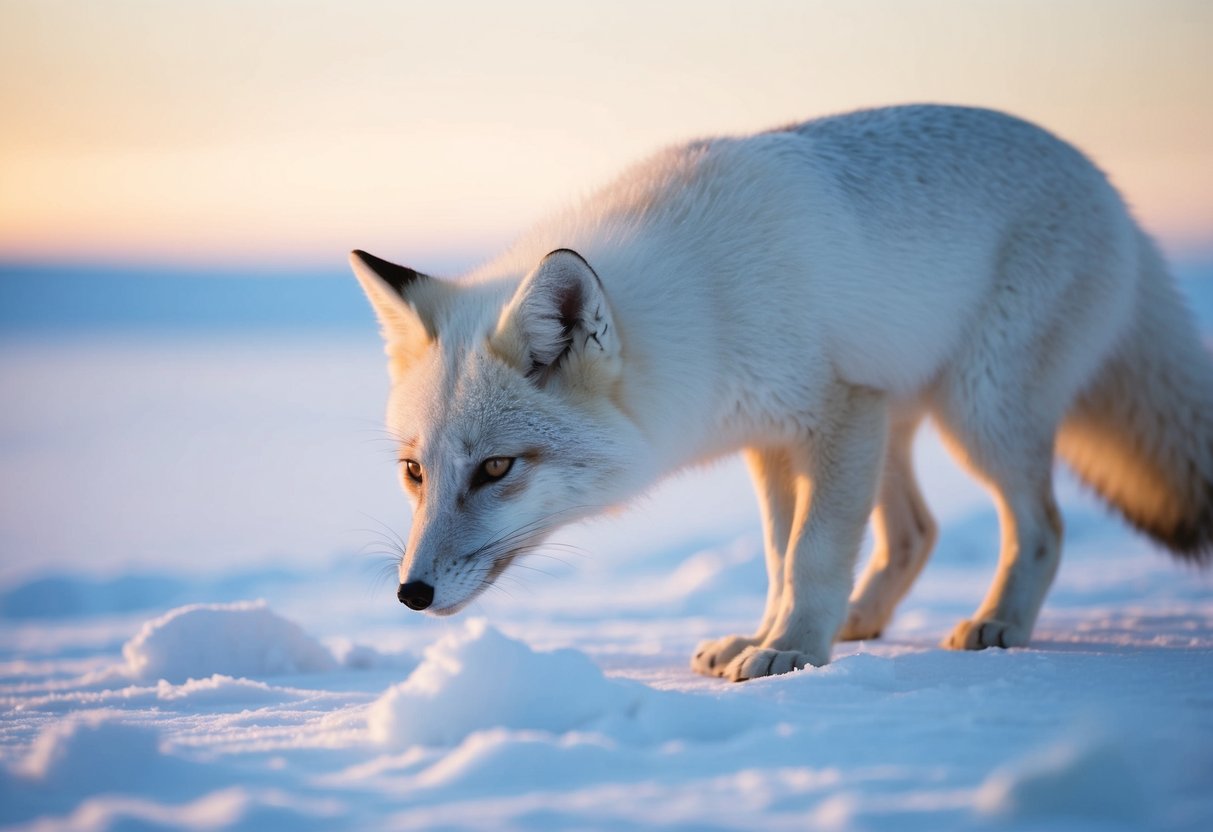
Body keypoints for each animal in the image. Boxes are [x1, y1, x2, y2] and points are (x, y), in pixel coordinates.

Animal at [351, 104, 1213, 681]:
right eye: (415, 473)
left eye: (497, 468)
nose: (411, 594)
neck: (700, 306)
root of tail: (1109, 190)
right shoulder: (773, 442)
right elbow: (777, 555)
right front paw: (766, 637)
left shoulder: (833, 411)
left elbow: (811, 552)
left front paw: (793, 650)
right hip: (898, 426)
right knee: (917, 531)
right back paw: (863, 620)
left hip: (977, 416)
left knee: (1041, 527)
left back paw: (998, 621)